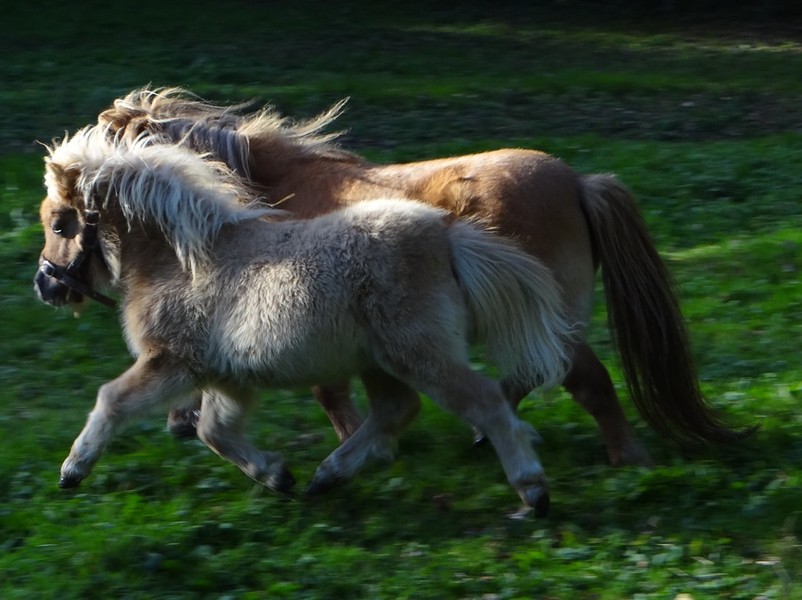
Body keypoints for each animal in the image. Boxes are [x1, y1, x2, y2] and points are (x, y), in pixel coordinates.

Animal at [34, 124, 579, 515]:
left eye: (60, 223)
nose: (45, 285)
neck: (181, 257)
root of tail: (447, 235)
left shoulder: (173, 361)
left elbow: (112, 400)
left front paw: (71, 470)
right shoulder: (228, 377)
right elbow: (214, 430)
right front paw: (276, 475)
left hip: (419, 353)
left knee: (483, 401)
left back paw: (534, 492)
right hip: (378, 361)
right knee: (396, 409)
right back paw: (326, 477)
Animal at [93, 87, 751, 465]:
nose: (176, 425)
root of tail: (579, 183)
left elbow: (331, 395)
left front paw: (359, 451)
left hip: (548, 320)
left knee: (581, 379)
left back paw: (624, 459)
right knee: (531, 376)